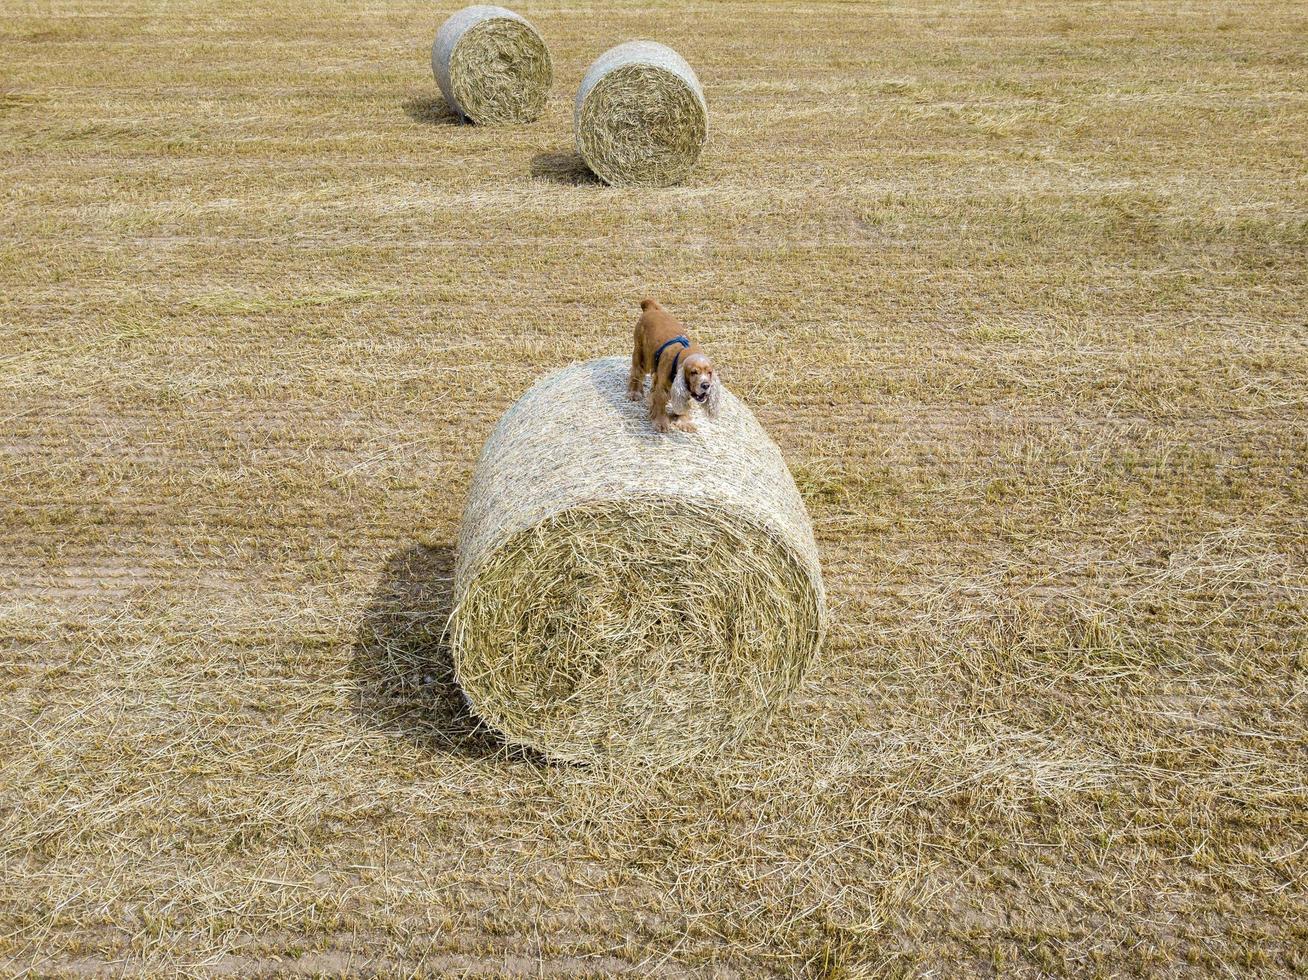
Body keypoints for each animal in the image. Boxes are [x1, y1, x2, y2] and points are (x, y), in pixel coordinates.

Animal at [625, 294, 722, 431]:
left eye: (709, 373)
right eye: (693, 372)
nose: (706, 385)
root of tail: (650, 309)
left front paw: (685, 422)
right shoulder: (662, 388)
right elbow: (660, 403)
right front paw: (660, 423)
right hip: (641, 353)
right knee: (636, 372)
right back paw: (634, 393)